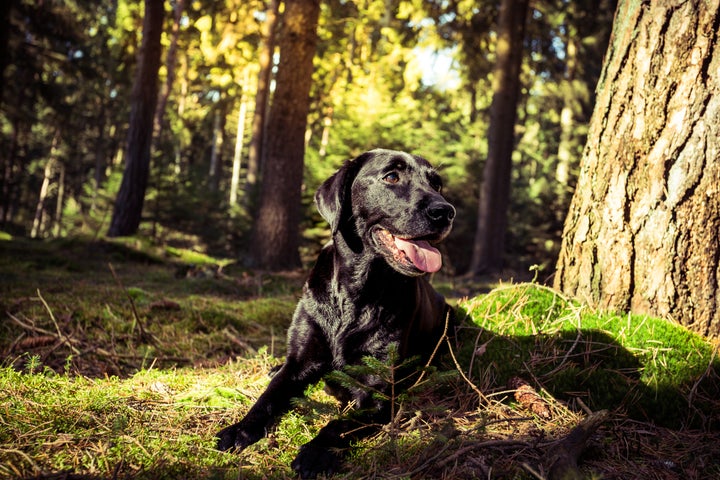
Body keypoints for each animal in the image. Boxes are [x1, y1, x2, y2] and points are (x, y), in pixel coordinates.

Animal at [214, 148, 458, 478]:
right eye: (391, 176)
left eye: (437, 183)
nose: (445, 211)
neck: (355, 292)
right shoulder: (301, 360)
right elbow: (268, 397)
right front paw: (240, 429)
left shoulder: (379, 389)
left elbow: (339, 424)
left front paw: (316, 453)